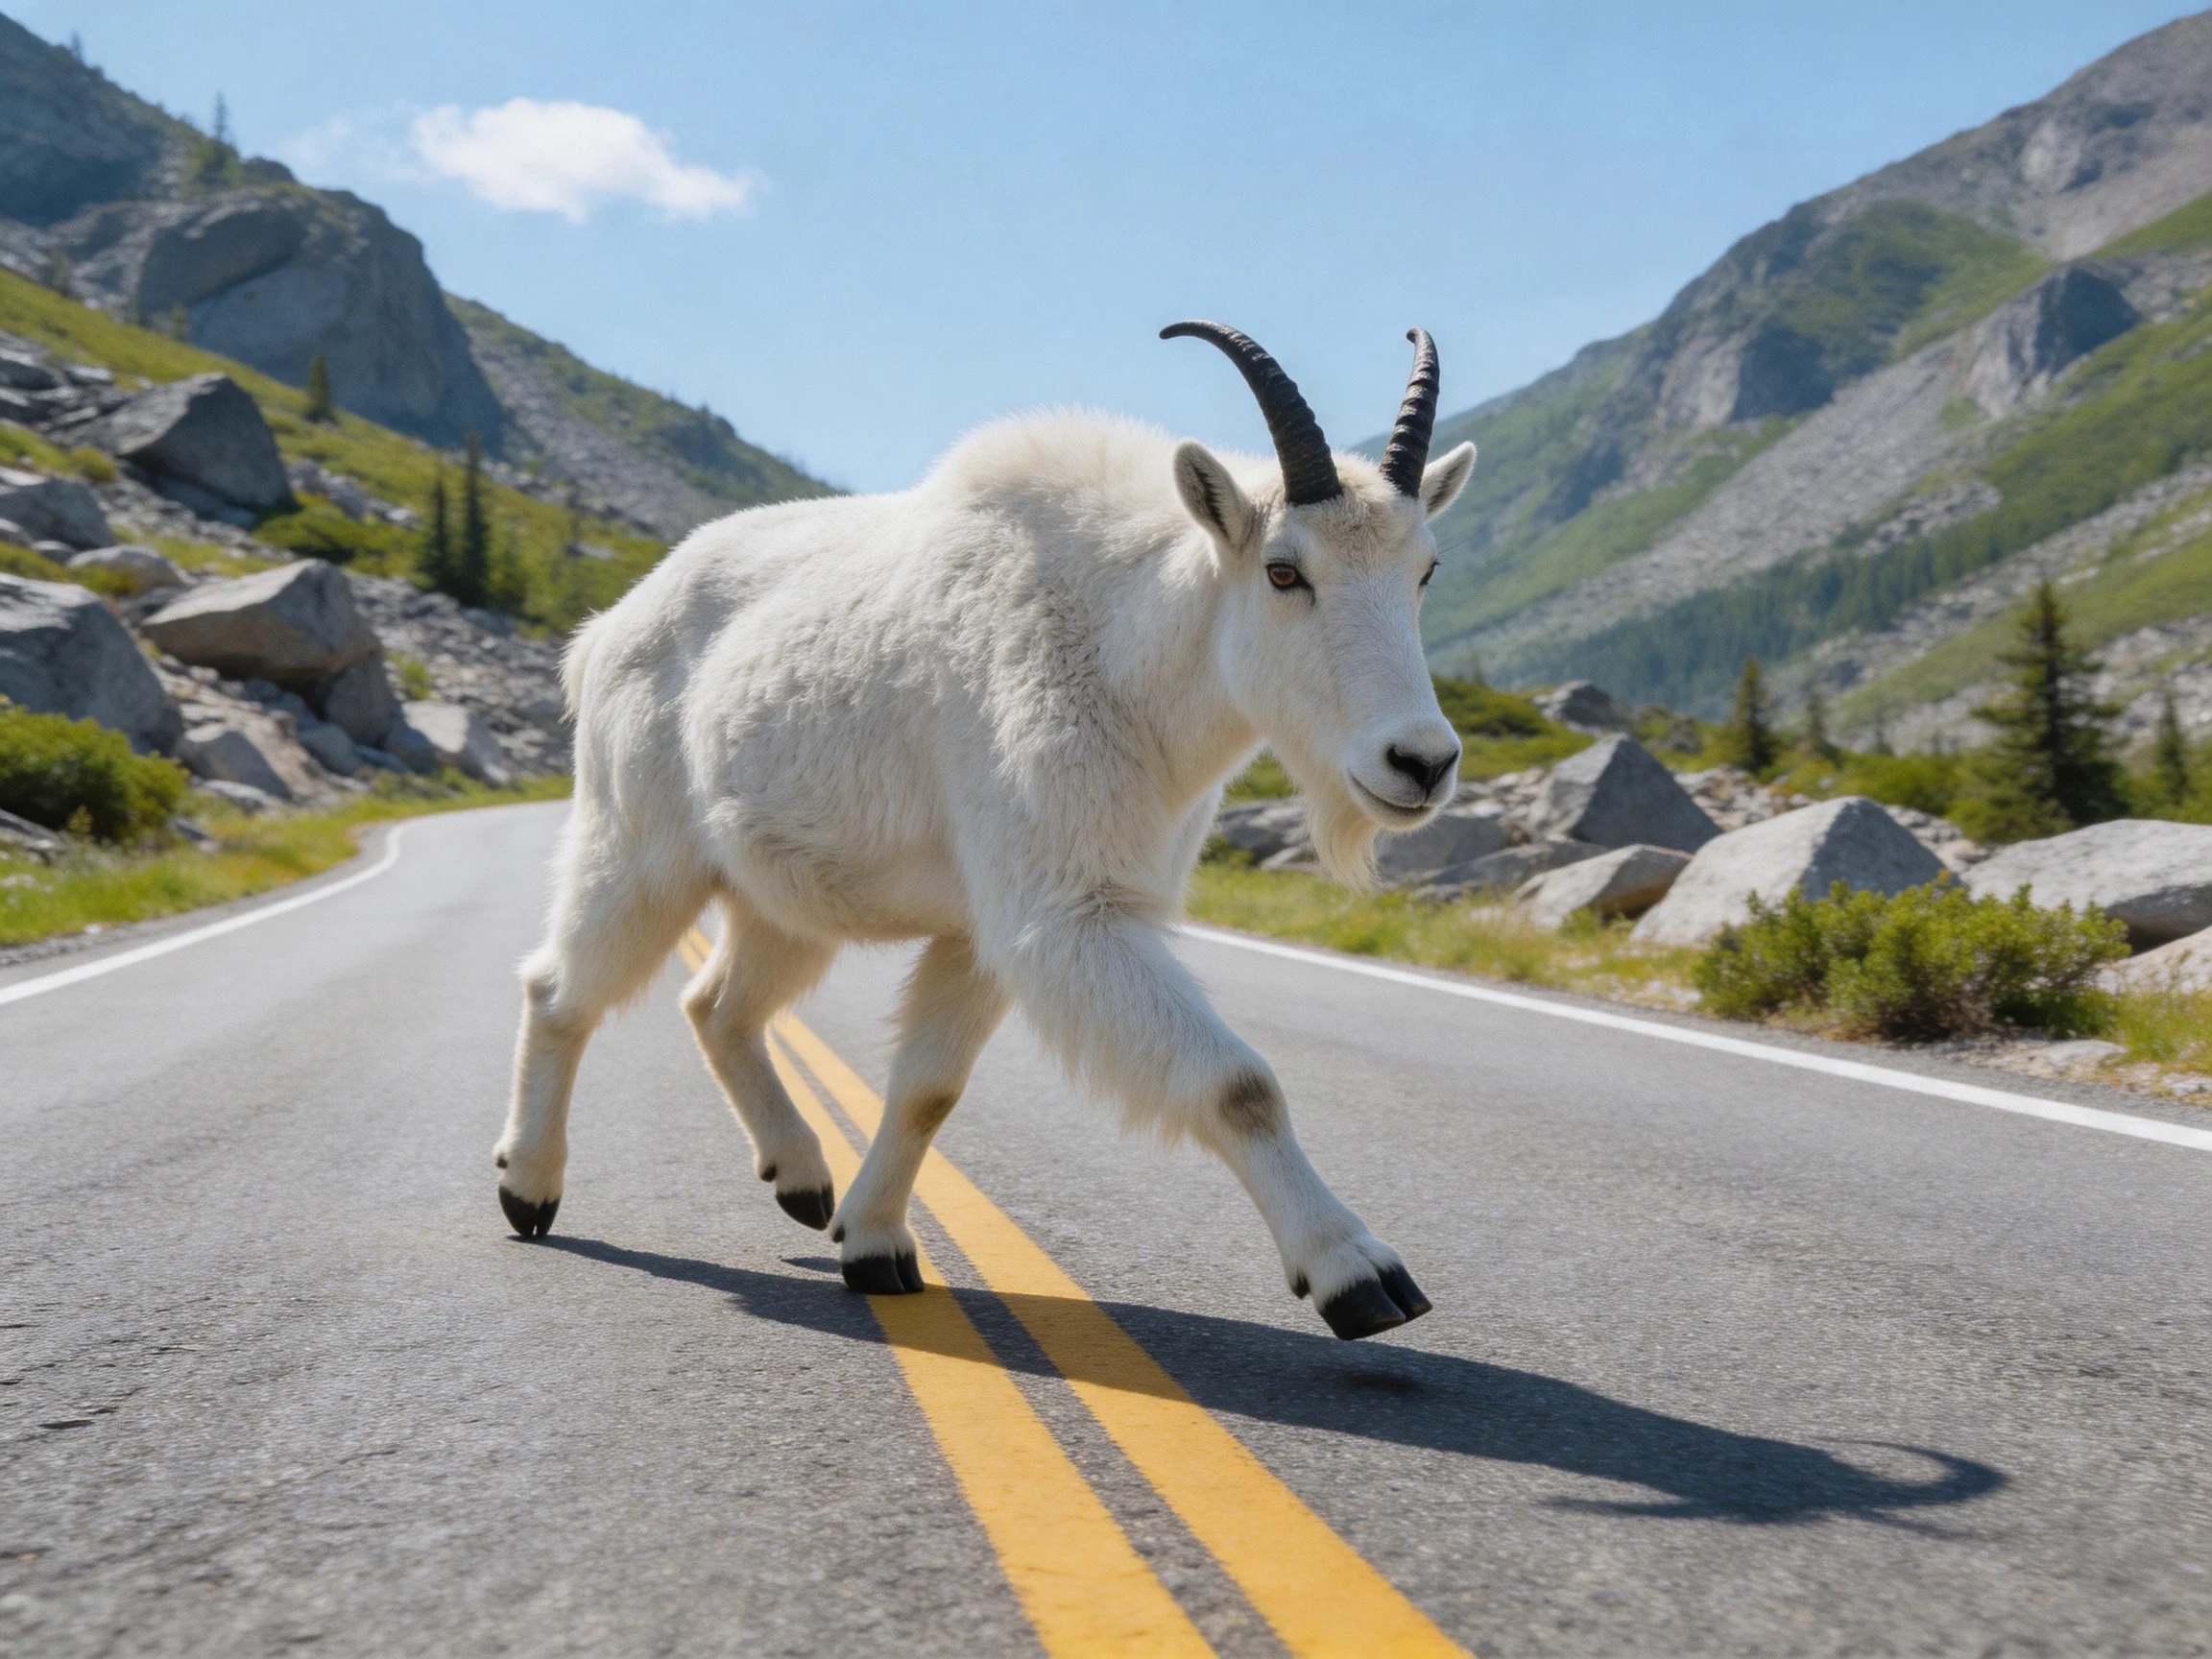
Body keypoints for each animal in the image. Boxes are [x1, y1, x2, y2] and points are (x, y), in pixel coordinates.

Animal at [496, 322, 1477, 1339]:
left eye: (1425, 570)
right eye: (1285, 571)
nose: (1420, 762)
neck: (1125, 650)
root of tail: (604, 632)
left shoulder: (981, 928)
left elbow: (929, 1088)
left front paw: (874, 1245)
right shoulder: (1066, 912)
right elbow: (1238, 1085)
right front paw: (1358, 1273)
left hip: (783, 895)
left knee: (717, 1006)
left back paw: (801, 1179)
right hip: (639, 847)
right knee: (559, 988)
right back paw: (529, 1188)